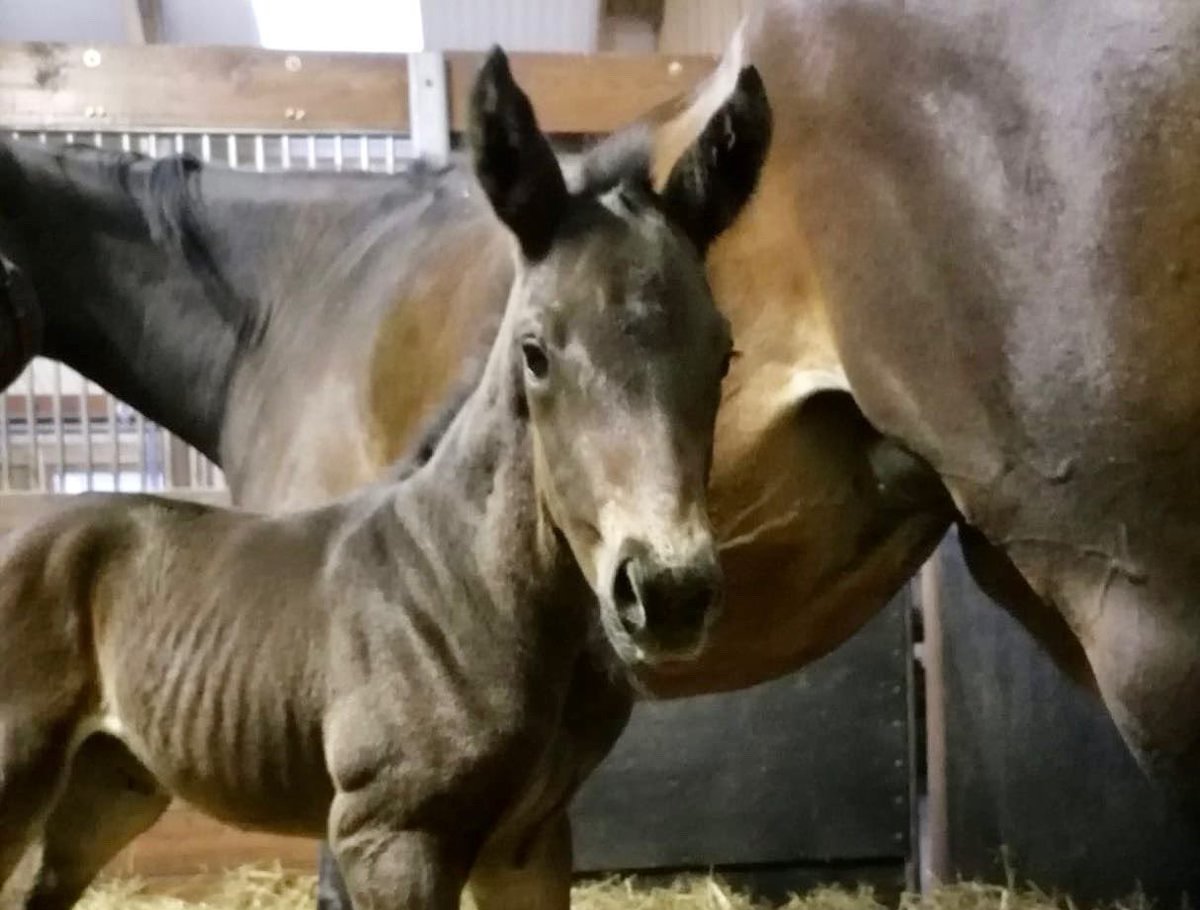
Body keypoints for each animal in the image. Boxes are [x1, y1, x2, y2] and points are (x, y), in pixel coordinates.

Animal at [0, 47, 772, 910]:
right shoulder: (391, 839)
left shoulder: (529, 844)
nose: (668, 592)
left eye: (724, 354)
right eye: (534, 352)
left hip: (112, 782)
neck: (467, 580)